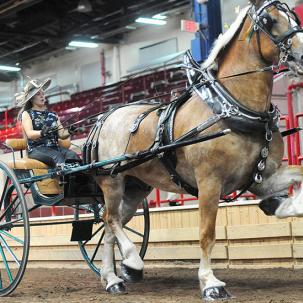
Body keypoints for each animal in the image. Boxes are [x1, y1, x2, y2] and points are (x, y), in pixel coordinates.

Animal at [86, 1, 303, 302]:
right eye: (270, 21)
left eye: (295, 16)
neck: (230, 107)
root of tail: (104, 117)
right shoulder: (209, 181)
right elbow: (206, 233)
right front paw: (210, 282)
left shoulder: (263, 177)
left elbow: (299, 175)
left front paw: (281, 205)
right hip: (112, 181)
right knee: (110, 219)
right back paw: (132, 262)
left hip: (135, 187)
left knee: (109, 226)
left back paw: (113, 278)